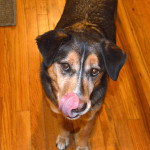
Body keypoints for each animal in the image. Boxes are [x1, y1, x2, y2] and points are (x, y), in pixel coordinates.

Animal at [36, 0, 126, 149]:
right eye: (65, 66)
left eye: (95, 71)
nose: (77, 108)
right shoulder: (56, 108)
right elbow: (63, 124)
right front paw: (63, 138)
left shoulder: (92, 114)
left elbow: (85, 132)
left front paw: (82, 145)